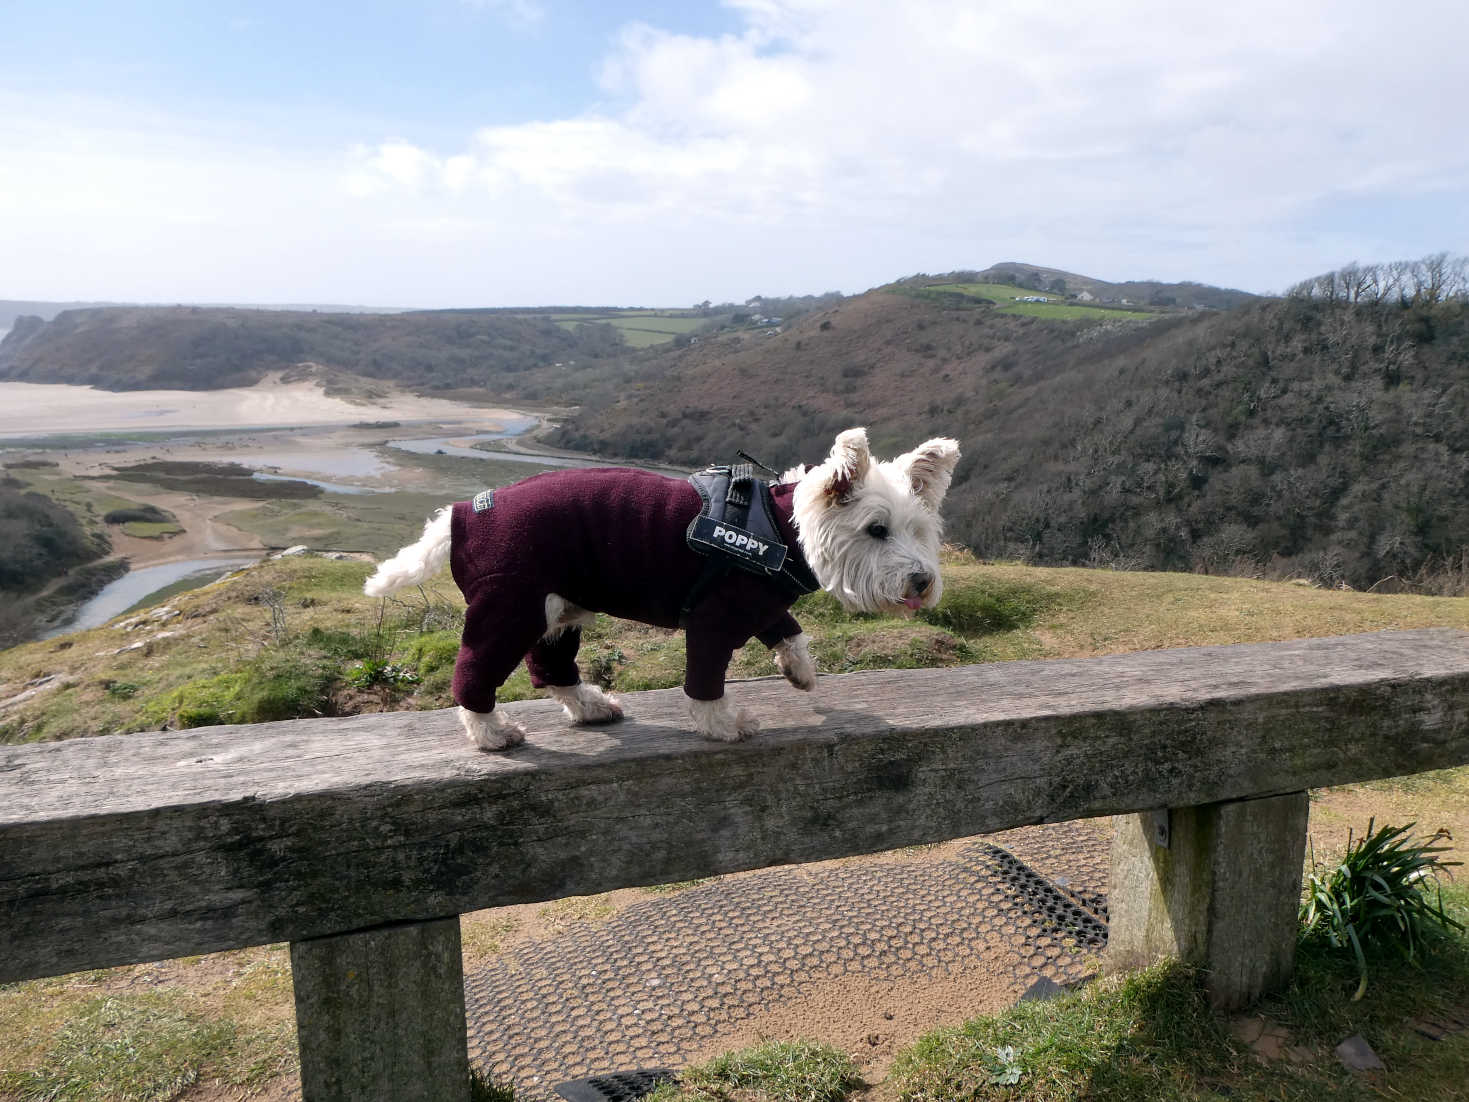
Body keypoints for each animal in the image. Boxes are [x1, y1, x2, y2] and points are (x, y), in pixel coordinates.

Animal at [367, 429, 957, 752]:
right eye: (876, 530)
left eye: (919, 531)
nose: (922, 582)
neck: (782, 529)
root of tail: (463, 513)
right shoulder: (713, 620)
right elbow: (705, 683)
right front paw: (723, 724)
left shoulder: (758, 603)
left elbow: (788, 630)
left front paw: (800, 671)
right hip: (510, 608)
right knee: (474, 676)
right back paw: (491, 732)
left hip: (557, 608)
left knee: (551, 669)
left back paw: (589, 706)